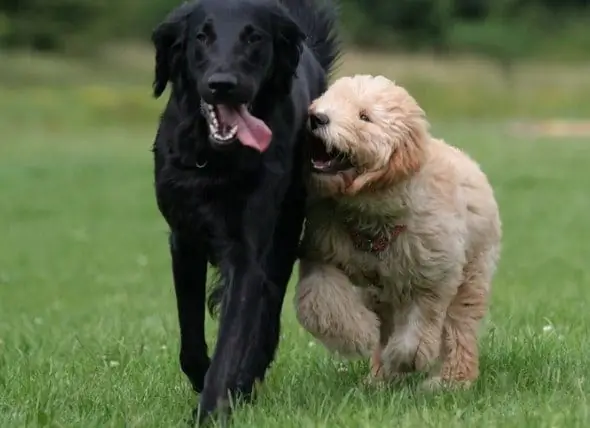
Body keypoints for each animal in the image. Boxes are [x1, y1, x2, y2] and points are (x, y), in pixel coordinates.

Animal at [150, 0, 340, 422]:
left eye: (254, 37)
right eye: (201, 36)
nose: (223, 83)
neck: (215, 158)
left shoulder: (248, 253)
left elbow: (234, 339)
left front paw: (211, 409)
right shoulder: (183, 241)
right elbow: (190, 336)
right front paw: (202, 381)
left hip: (286, 231)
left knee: (266, 316)